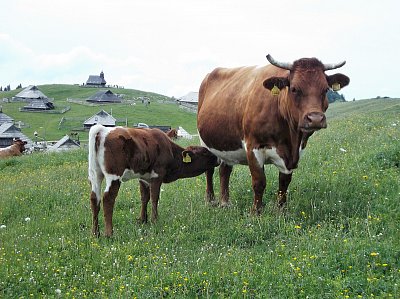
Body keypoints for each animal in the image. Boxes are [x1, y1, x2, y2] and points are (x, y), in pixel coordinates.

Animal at [88, 124, 219, 237]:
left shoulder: (144, 177)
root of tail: (102, 129)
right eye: (205, 152)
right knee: (108, 198)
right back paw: (109, 233)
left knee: (95, 199)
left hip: (95, 174)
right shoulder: (157, 174)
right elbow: (154, 197)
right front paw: (154, 220)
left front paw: (143, 220)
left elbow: (145, 197)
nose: (218, 158)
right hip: (114, 175)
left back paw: (95, 233)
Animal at [198, 54, 350, 213]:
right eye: (294, 89)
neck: (291, 139)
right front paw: (256, 212)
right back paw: (210, 200)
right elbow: (259, 182)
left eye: (325, 89)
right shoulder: (253, 146)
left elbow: (284, 183)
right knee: (209, 170)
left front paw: (281, 210)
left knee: (224, 170)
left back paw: (225, 202)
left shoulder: (295, 154)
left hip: (226, 145)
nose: (315, 119)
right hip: (205, 143)